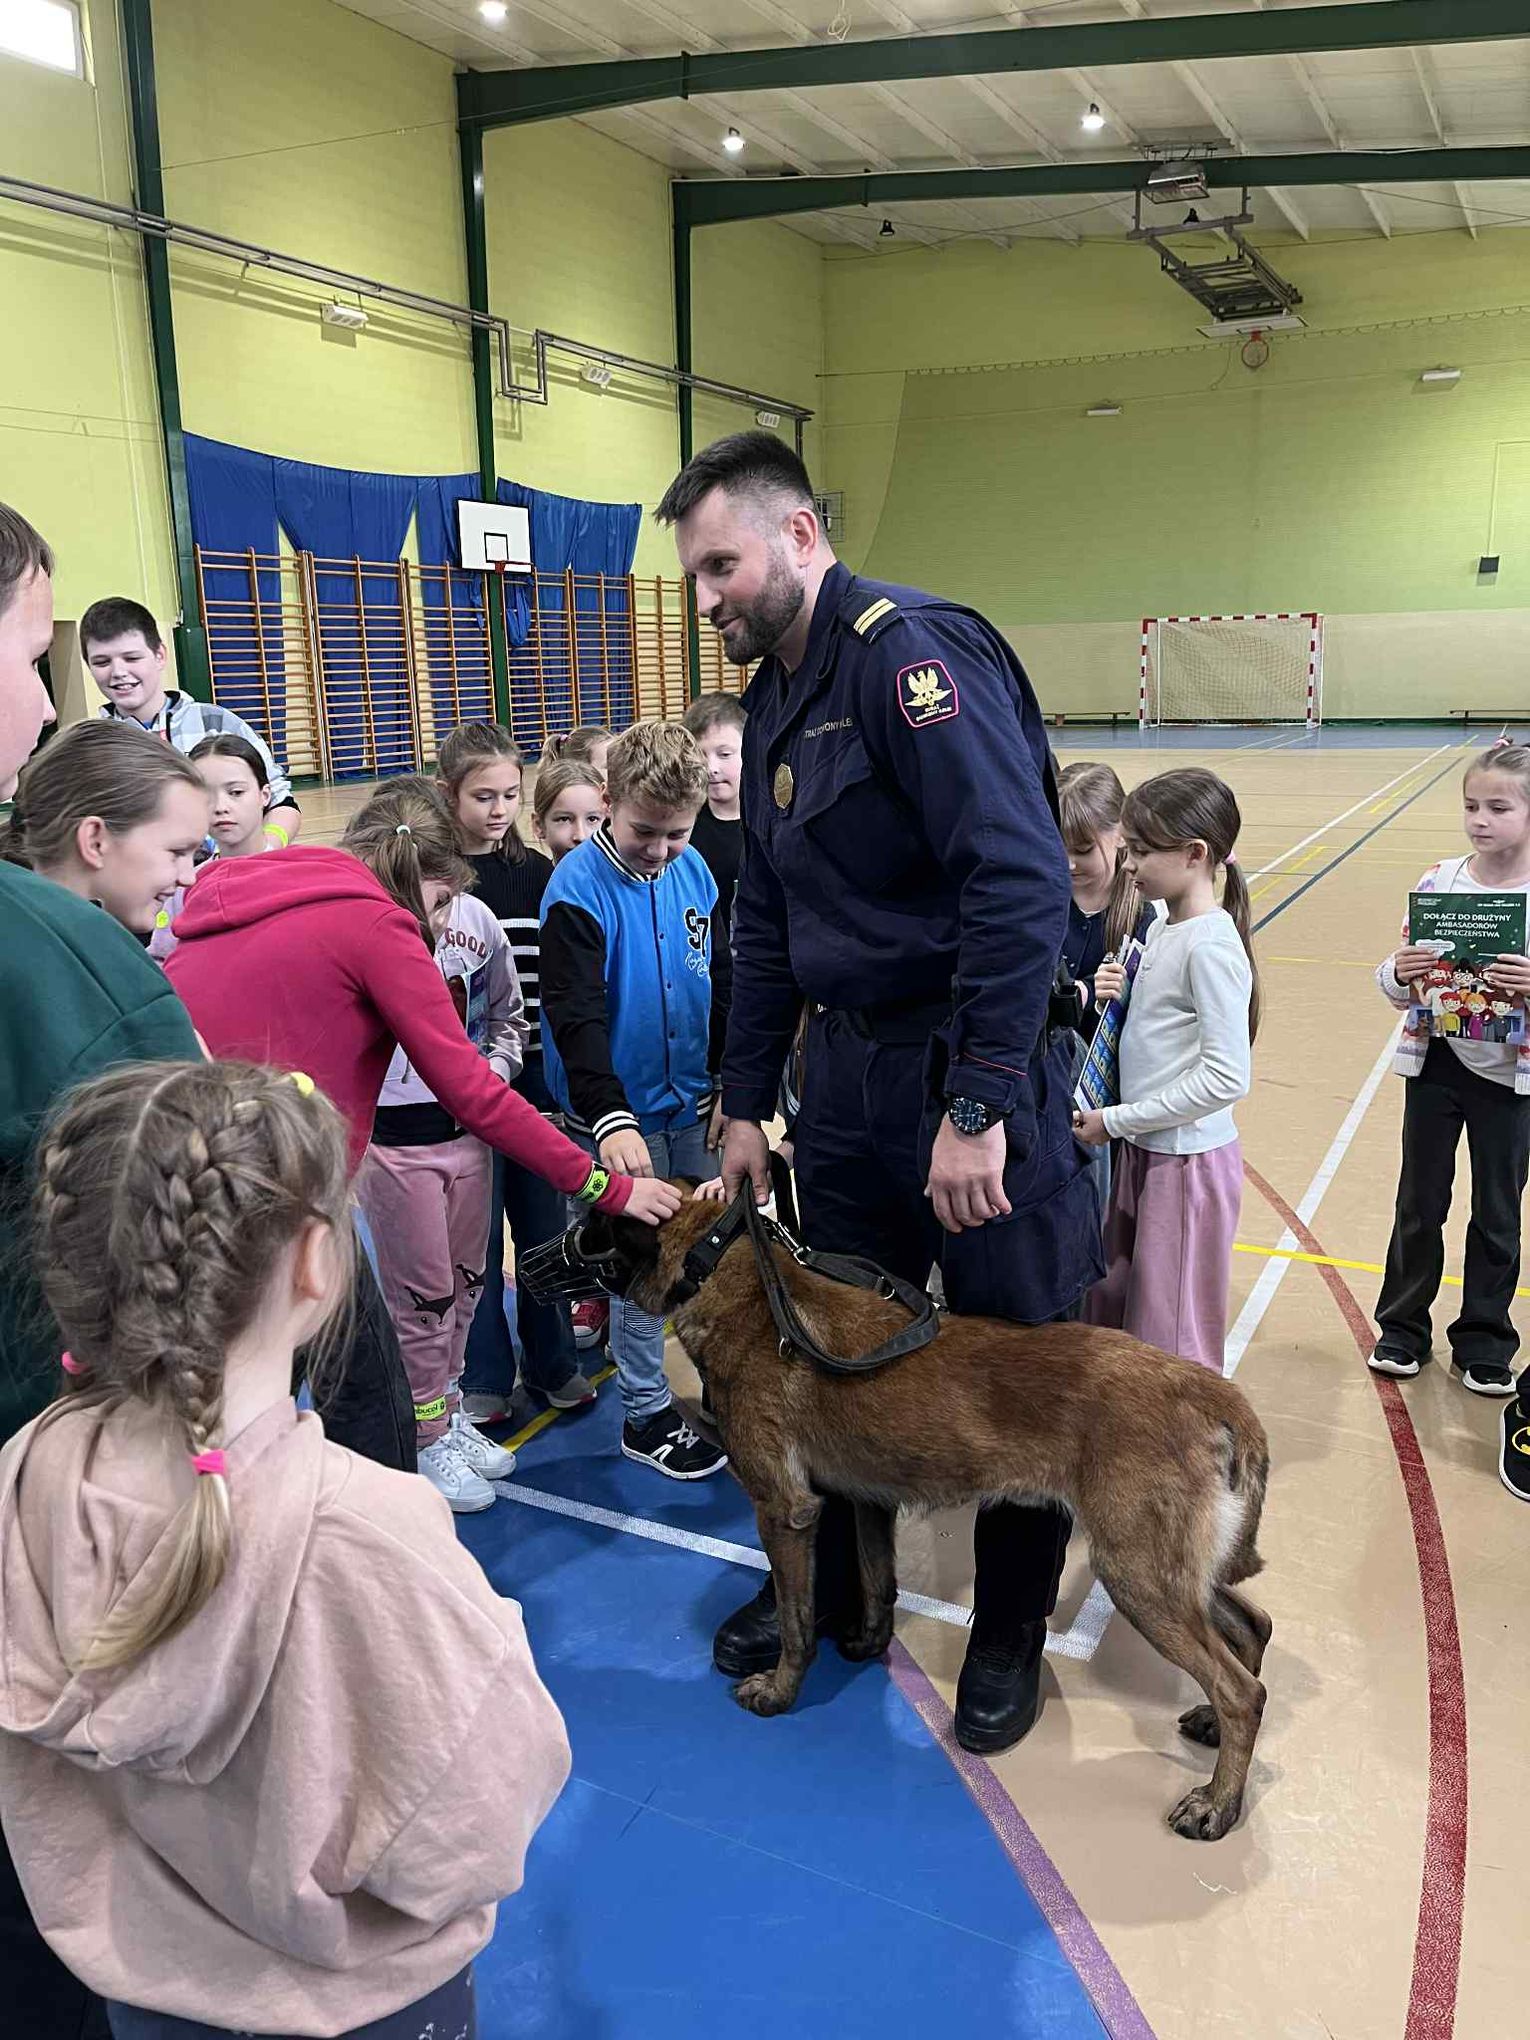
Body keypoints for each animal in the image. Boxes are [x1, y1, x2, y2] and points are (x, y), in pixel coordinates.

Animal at [581, 1190, 1272, 1842]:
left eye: (592, 1228)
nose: (563, 1241)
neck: (732, 1271)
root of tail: (1209, 1389)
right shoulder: (866, 1499)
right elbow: (876, 1580)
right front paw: (868, 1641)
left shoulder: (785, 1511)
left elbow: (798, 1622)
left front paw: (780, 1692)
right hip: (1168, 1572)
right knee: (1252, 1629)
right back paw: (1213, 1731)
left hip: (1136, 1574)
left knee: (1242, 1690)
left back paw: (1218, 1802)